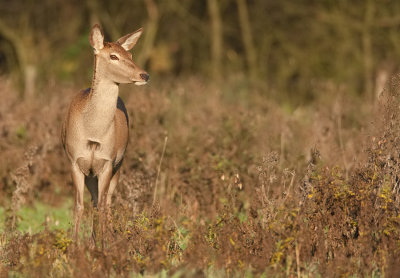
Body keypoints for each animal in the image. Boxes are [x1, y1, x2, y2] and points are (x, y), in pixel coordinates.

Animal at [61, 23, 149, 241]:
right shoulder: (74, 160)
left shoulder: (108, 161)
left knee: (106, 202)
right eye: (113, 56)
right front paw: (75, 245)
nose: (144, 75)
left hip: (119, 164)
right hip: (92, 173)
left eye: (130, 54)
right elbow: (78, 205)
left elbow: (102, 205)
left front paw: (104, 245)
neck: (93, 133)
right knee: (94, 201)